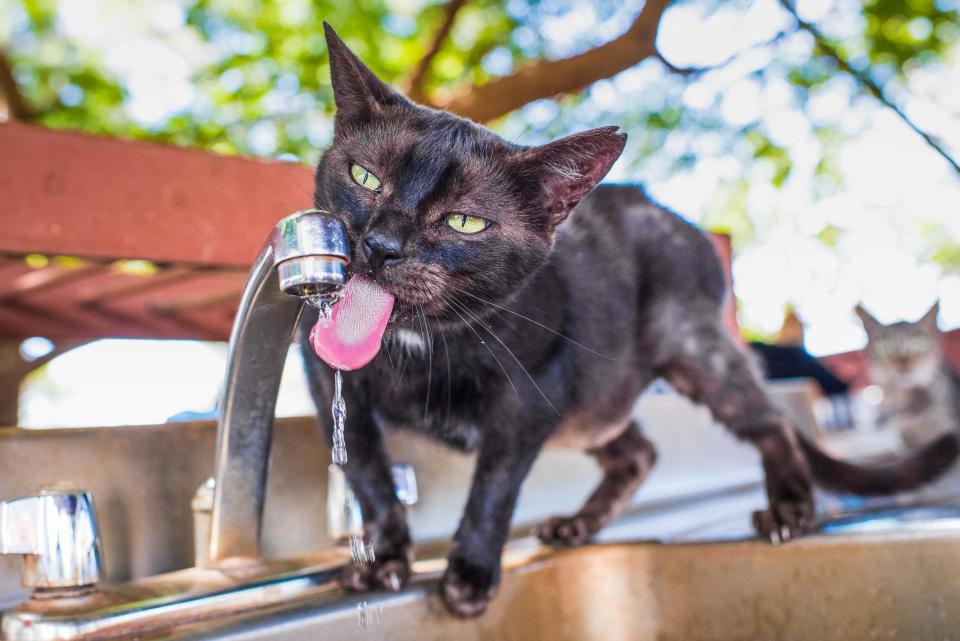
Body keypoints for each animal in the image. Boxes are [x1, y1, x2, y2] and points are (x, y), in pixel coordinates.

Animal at [302, 23, 960, 616]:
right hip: (592, 403)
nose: (381, 244)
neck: (422, 343)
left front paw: (470, 572)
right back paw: (578, 524)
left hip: (692, 353)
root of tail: (667, 210)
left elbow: (493, 488)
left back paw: (791, 508)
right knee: (639, 452)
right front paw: (385, 559)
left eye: (463, 222)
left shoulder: (528, 399)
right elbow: (369, 474)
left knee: (768, 419)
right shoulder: (326, 375)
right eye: (365, 177)